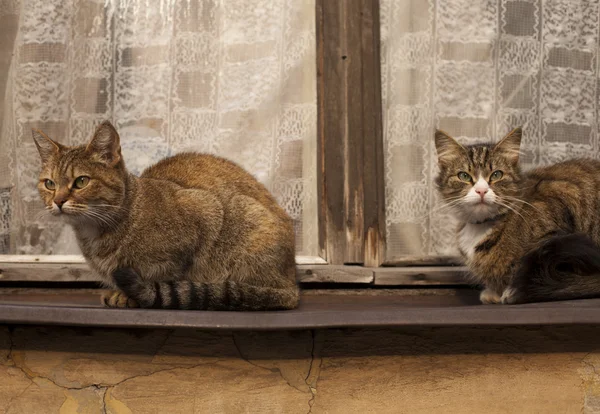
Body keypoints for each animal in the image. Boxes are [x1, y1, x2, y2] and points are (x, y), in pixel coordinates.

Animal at [31, 121, 298, 308]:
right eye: (49, 184)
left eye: (81, 181)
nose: (58, 201)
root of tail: (292, 282)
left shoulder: (205, 210)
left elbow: (172, 275)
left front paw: (132, 295)